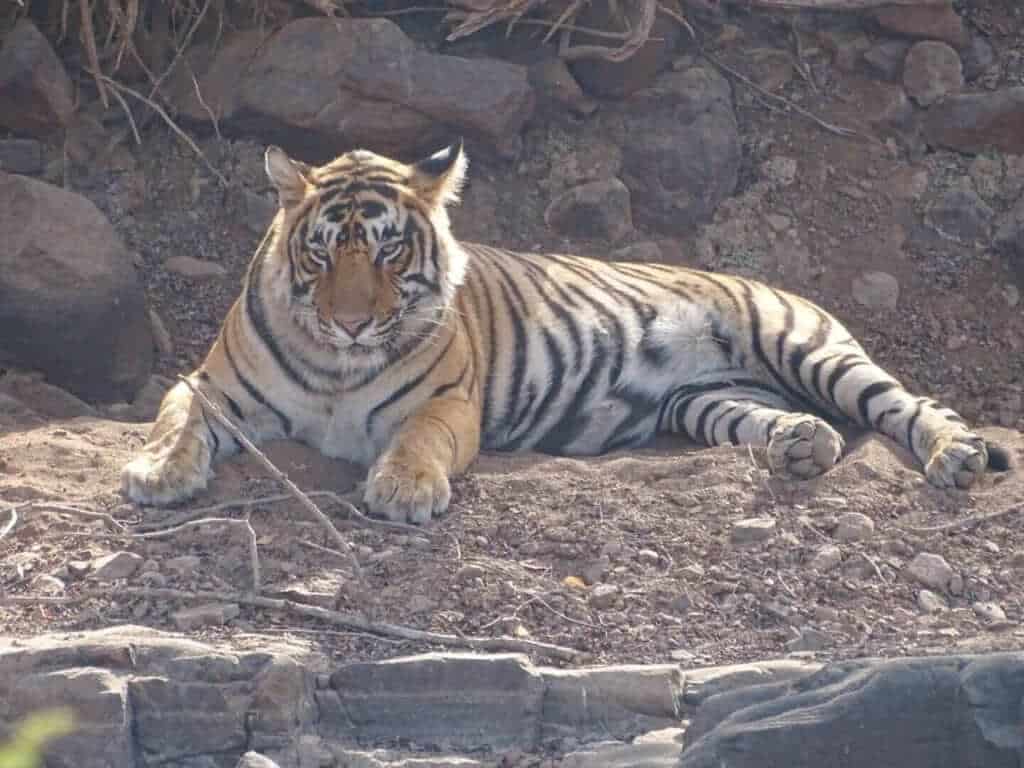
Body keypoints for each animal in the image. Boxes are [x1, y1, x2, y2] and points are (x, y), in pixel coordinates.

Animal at [121, 140, 1012, 523]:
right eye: (321, 252)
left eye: (388, 251)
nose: (349, 323)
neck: (338, 366)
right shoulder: (210, 386)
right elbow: (175, 423)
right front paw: (158, 475)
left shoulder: (447, 405)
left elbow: (415, 443)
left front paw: (404, 491)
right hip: (704, 400)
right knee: (787, 420)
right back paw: (801, 445)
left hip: (807, 346)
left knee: (911, 405)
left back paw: (955, 456)